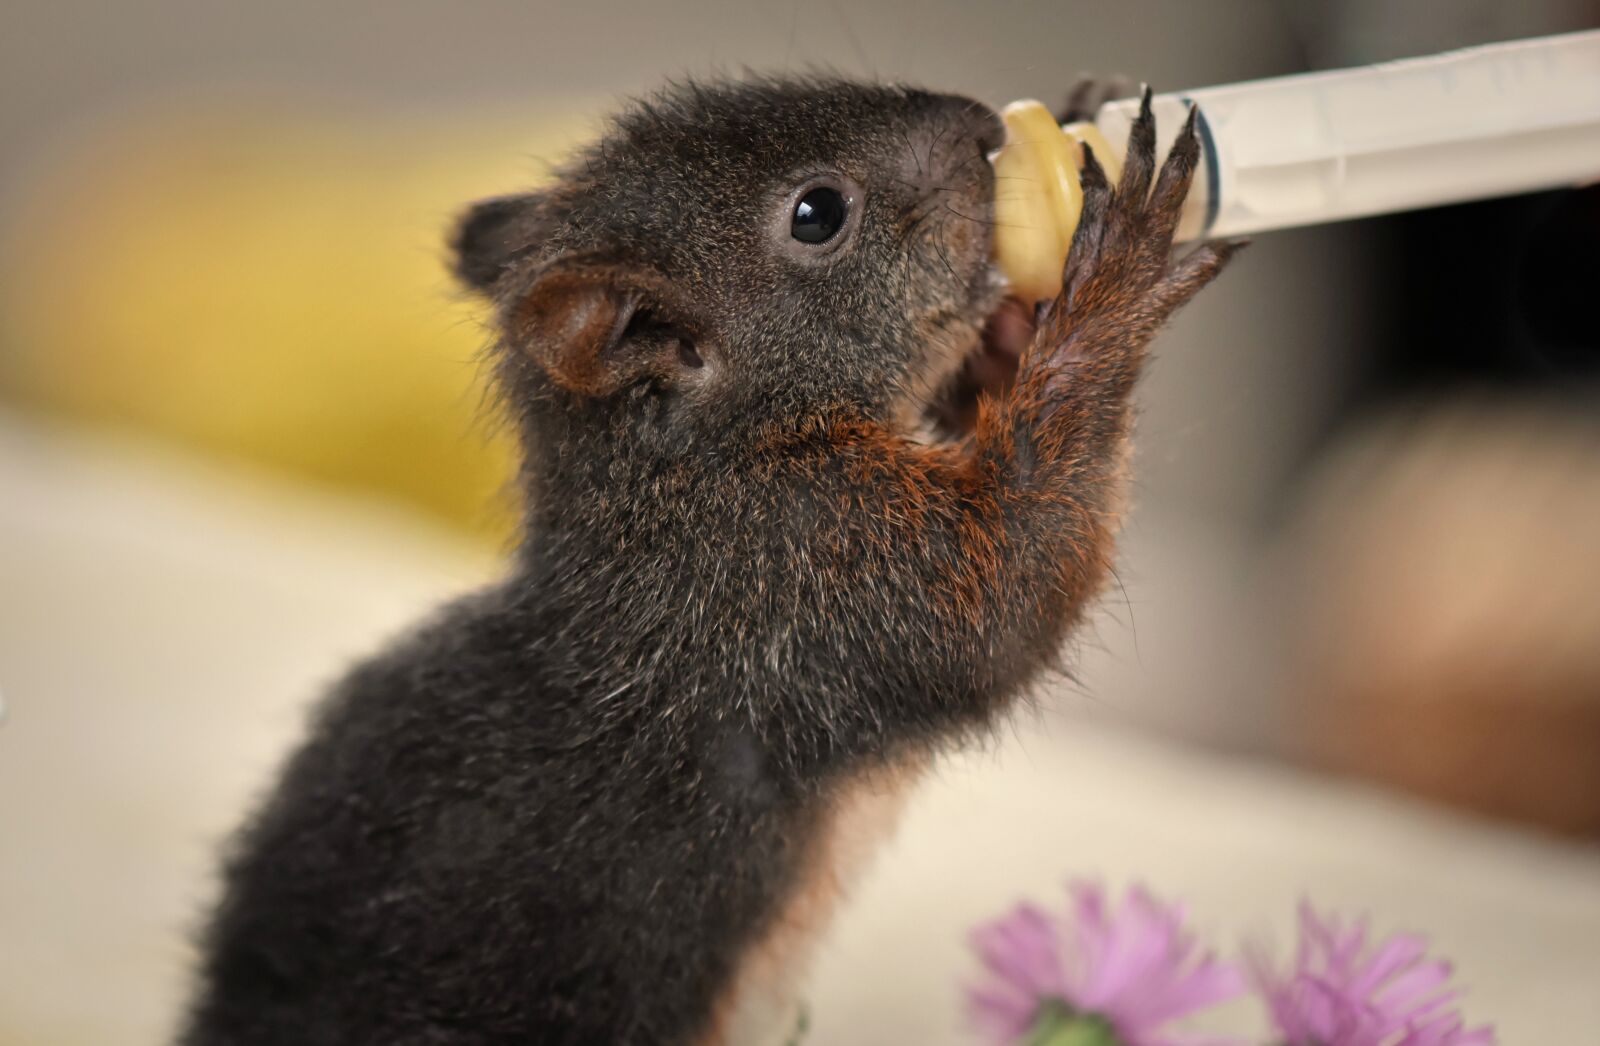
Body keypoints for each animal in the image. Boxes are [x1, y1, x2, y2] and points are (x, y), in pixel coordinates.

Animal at [180, 76, 1238, 1045]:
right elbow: (1012, 575)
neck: (697, 468)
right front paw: (1115, 281)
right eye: (818, 214)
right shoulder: (812, 566)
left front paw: (1021, 324)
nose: (980, 127)